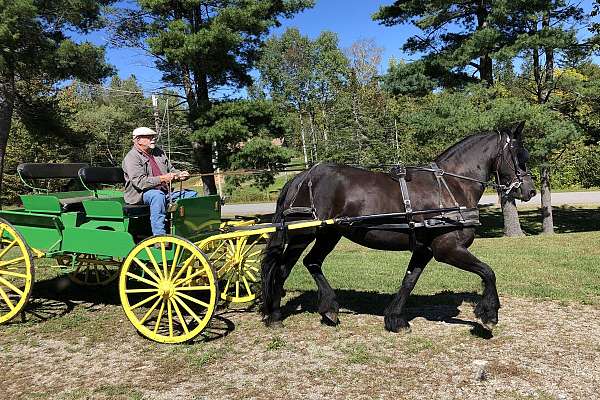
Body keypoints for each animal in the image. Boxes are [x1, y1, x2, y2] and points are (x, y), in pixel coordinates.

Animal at [260, 121, 536, 332]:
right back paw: (275, 315)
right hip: (302, 234)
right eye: (519, 156)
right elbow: (488, 272)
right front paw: (490, 315)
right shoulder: (447, 249)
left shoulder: (424, 250)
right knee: (282, 269)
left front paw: (395, 318)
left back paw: (327, 309)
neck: (451, 185)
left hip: (329, 234)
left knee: (312, 262)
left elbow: (409, 281)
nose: (530, 190)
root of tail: (301, 177)